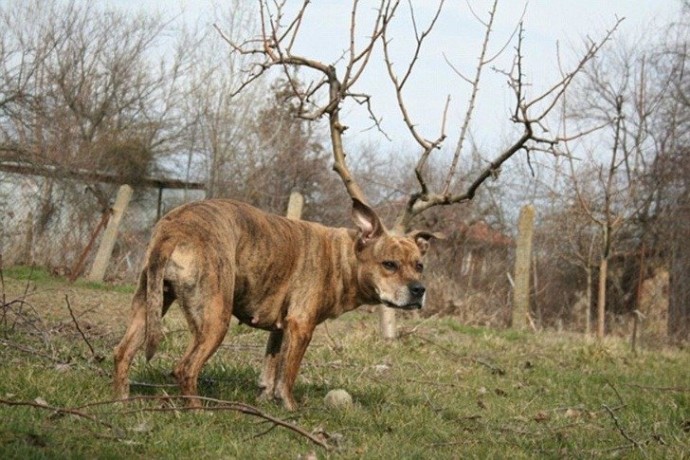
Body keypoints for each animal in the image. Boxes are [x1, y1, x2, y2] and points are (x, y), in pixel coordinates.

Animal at [112, 198, 436, 410]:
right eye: (390, 265)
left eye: (419, 265)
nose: (419, 290)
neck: (343, 257)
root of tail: (175, 229)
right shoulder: (301, 327)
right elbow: (287, 374)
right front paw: (290, 407)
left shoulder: (281, 329)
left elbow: (271, 368)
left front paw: (265, 399)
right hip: (215, 321)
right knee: (185, 368)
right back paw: (197, 412)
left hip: (148, 305)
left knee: (123, 352)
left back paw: (120, 401)